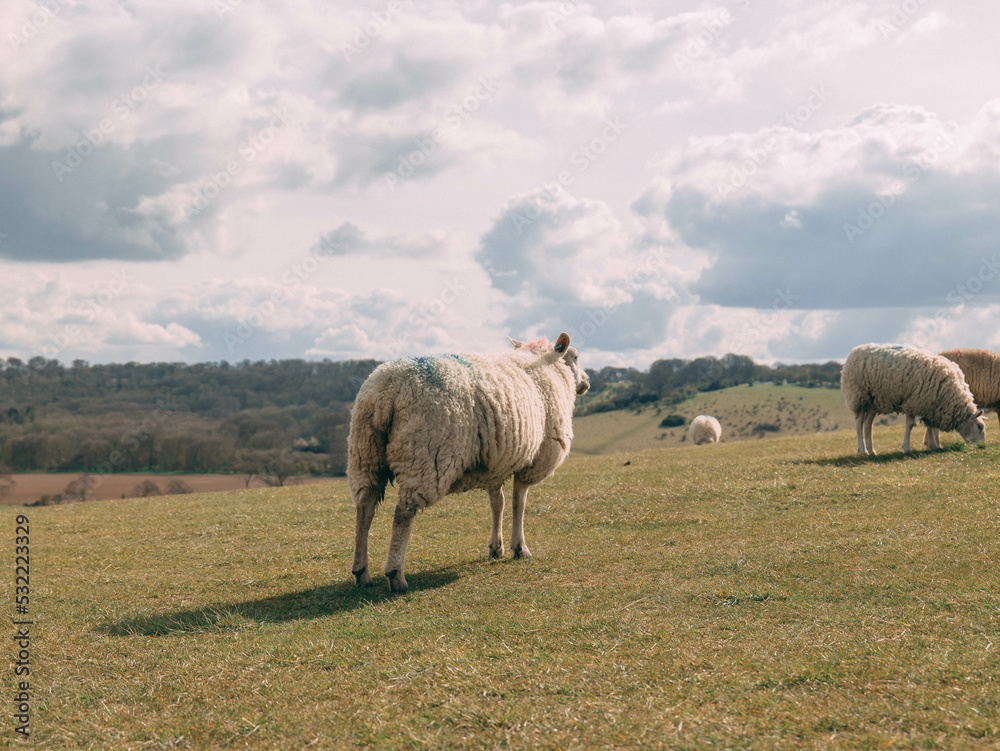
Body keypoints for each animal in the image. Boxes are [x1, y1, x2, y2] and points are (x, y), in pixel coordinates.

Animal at [348, 332, 590, 593]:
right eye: (575, 356)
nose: (587, 382)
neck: (547, 367)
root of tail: (386, 389)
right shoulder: (533, 460)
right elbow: (519, 503)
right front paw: (519, 548)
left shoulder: (497, 462)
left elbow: (498, 503)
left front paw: (496, 547)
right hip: (424, 457)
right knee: (403, 513)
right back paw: (396, 575)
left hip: (365, 454)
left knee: (364, 508)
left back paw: (361, 572)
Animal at [840, 343, 985, 456]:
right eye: (980, 427)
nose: (982, 447)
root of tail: (855, 349)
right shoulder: (913, 402)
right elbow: (910, 425)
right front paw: (906, 448)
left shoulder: (929, 404)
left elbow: (929, 425)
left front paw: (933, 446)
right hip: (859, 395)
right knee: (859, 423)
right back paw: (862, 450)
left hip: (873, 401)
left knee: (868, 424)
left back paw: (871, 450)